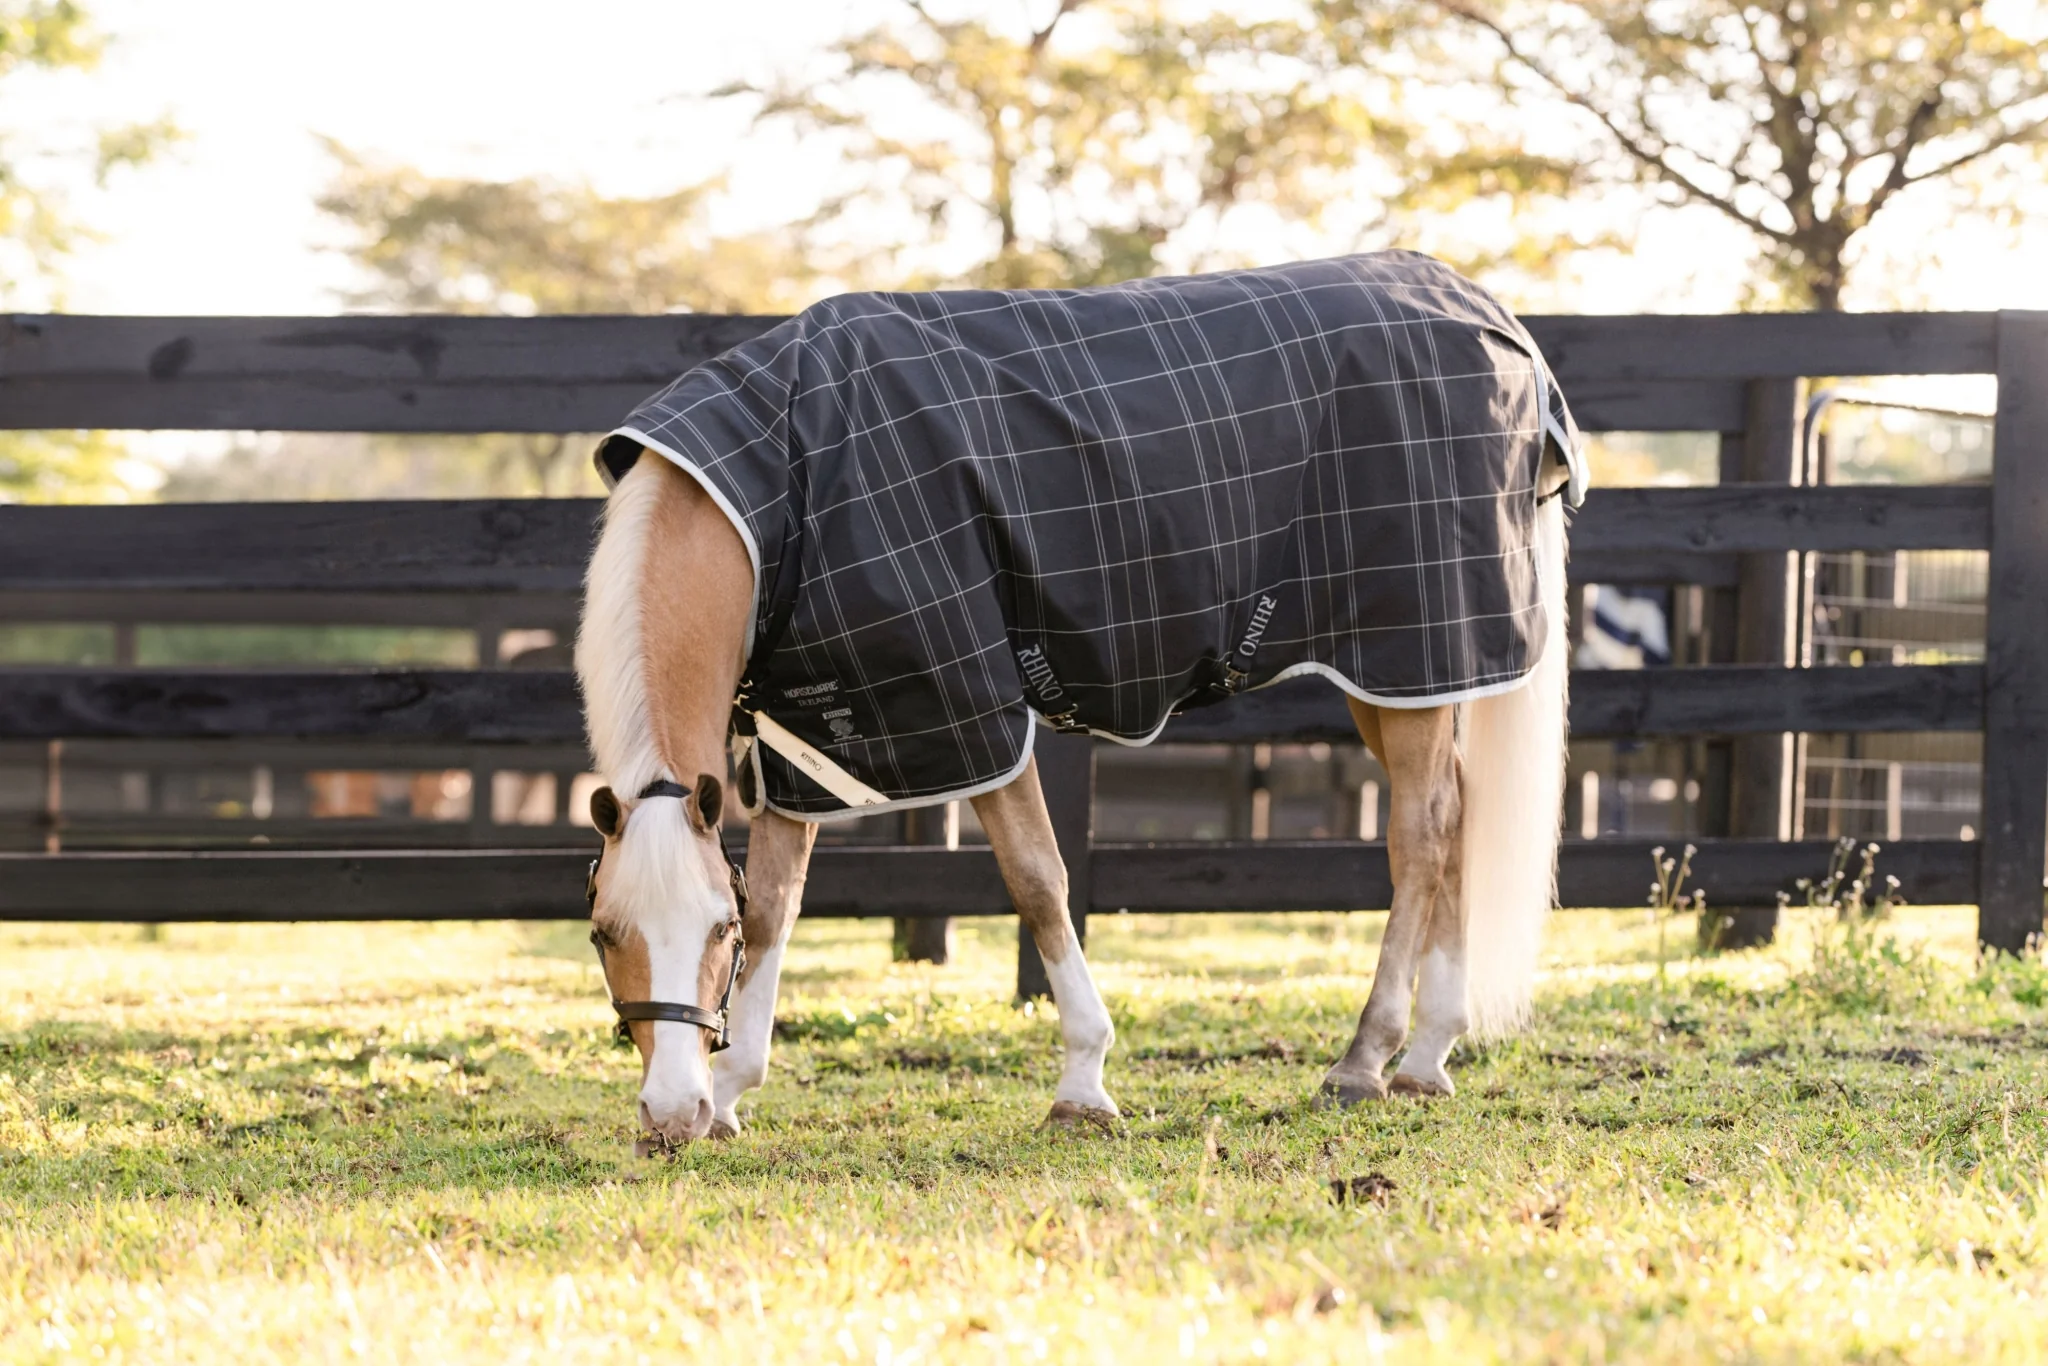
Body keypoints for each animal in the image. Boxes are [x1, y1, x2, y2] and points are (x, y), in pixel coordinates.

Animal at [574, 252, 1578, 1150]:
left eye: (712, 931)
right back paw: (1428, 1059)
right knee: (1455, 814)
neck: (784, 486)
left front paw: (1084, 1084)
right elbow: (782, 903)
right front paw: (734, 1094)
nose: (669, 1117)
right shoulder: (813, 734)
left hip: (1414, 657)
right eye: (604, 933)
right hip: (1396, 674)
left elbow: (1039, 880)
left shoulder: (969, 711)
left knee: (1420, 833)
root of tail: (1496, 321)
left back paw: (1365, 1061)